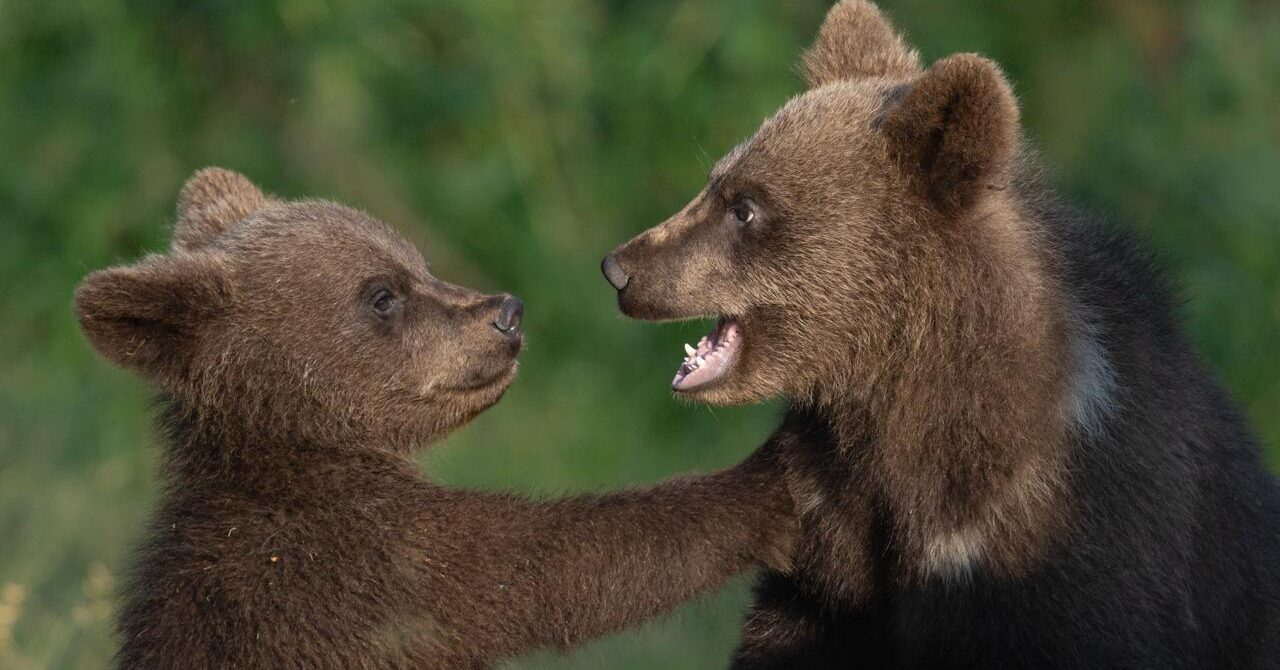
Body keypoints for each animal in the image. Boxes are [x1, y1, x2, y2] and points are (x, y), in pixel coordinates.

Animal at [75, 167, 798, 670]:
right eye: (382, 294)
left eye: (418, 262)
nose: (506, 311)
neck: (299, 450)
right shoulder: (372, 572)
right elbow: (552, 567)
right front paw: (767, 481)